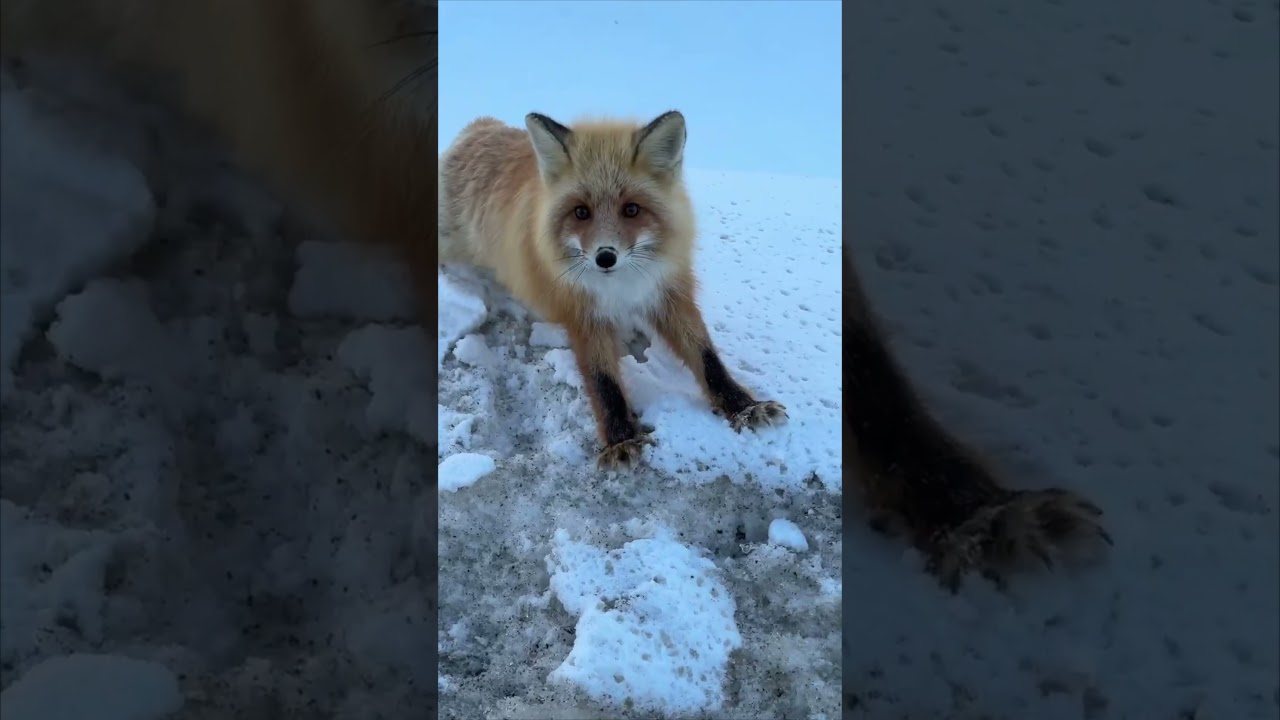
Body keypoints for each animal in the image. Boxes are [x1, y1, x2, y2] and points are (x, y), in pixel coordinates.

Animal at [438, 112, 788, 469]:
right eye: (581, 212)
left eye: (631, 209)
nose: (605, 257)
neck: (622, 287)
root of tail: (480, 126)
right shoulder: (583, 312)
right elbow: (604, 382)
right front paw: (621, 442)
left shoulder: (668, 293)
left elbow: (707, 360)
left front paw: (743, 407)